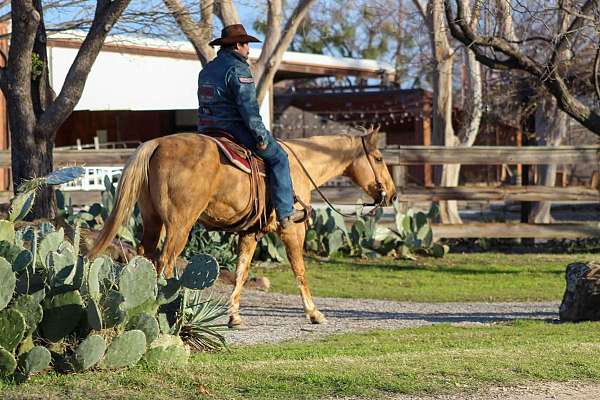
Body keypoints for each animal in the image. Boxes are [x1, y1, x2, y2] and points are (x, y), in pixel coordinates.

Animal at [89, 130, 396, 326]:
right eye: (379, 158)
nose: (392, 195)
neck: (300, 164)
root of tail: (157, 144)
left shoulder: (250, 234)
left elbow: (241, 273)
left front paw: (234, 316)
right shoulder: (292, 231)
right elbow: (299, 270)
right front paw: (313, 313)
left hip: (153, 222)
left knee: (145, 256)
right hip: (179, 226)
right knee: (165, 262)